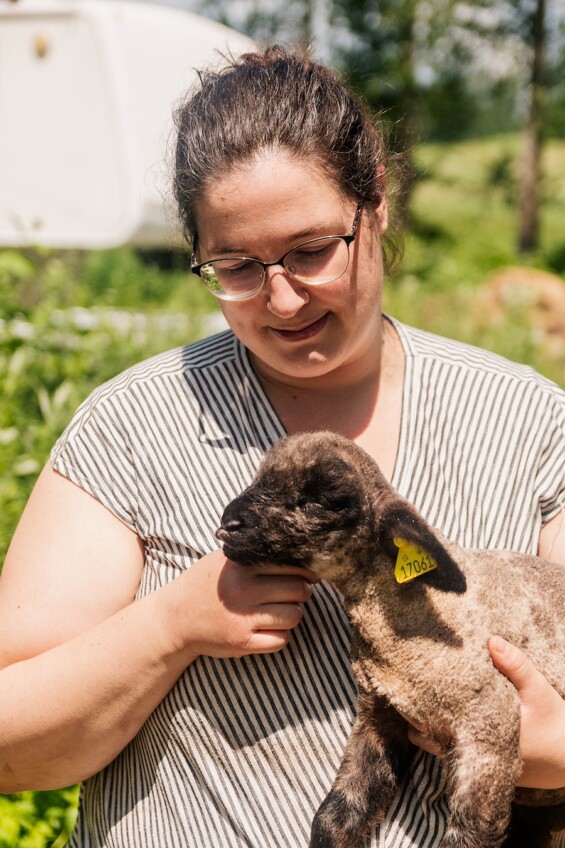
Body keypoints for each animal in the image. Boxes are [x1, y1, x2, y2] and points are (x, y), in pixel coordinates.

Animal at [216, 430, 564, 848]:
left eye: (322, 500)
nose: (228, 524)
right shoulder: (380, 714)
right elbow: (334, 819)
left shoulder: (490, 730)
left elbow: (470, 834)